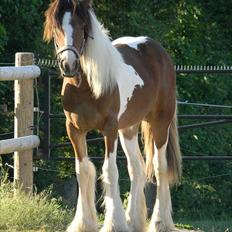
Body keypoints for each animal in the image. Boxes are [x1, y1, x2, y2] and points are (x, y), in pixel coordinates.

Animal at [43, 0, 181, 231]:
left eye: (82, 27)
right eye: (56, 29)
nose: (68, 65)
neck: (86, 86)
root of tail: (158, 50)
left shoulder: (109, 129)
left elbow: (110, 170)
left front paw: (114, 223)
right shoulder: (74, 130)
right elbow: (83, 170)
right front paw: (84, 223)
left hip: (160, 122)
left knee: (159, 167)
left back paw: (160, 221)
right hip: (128, 129)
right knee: (137, 168)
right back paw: (133, 221)